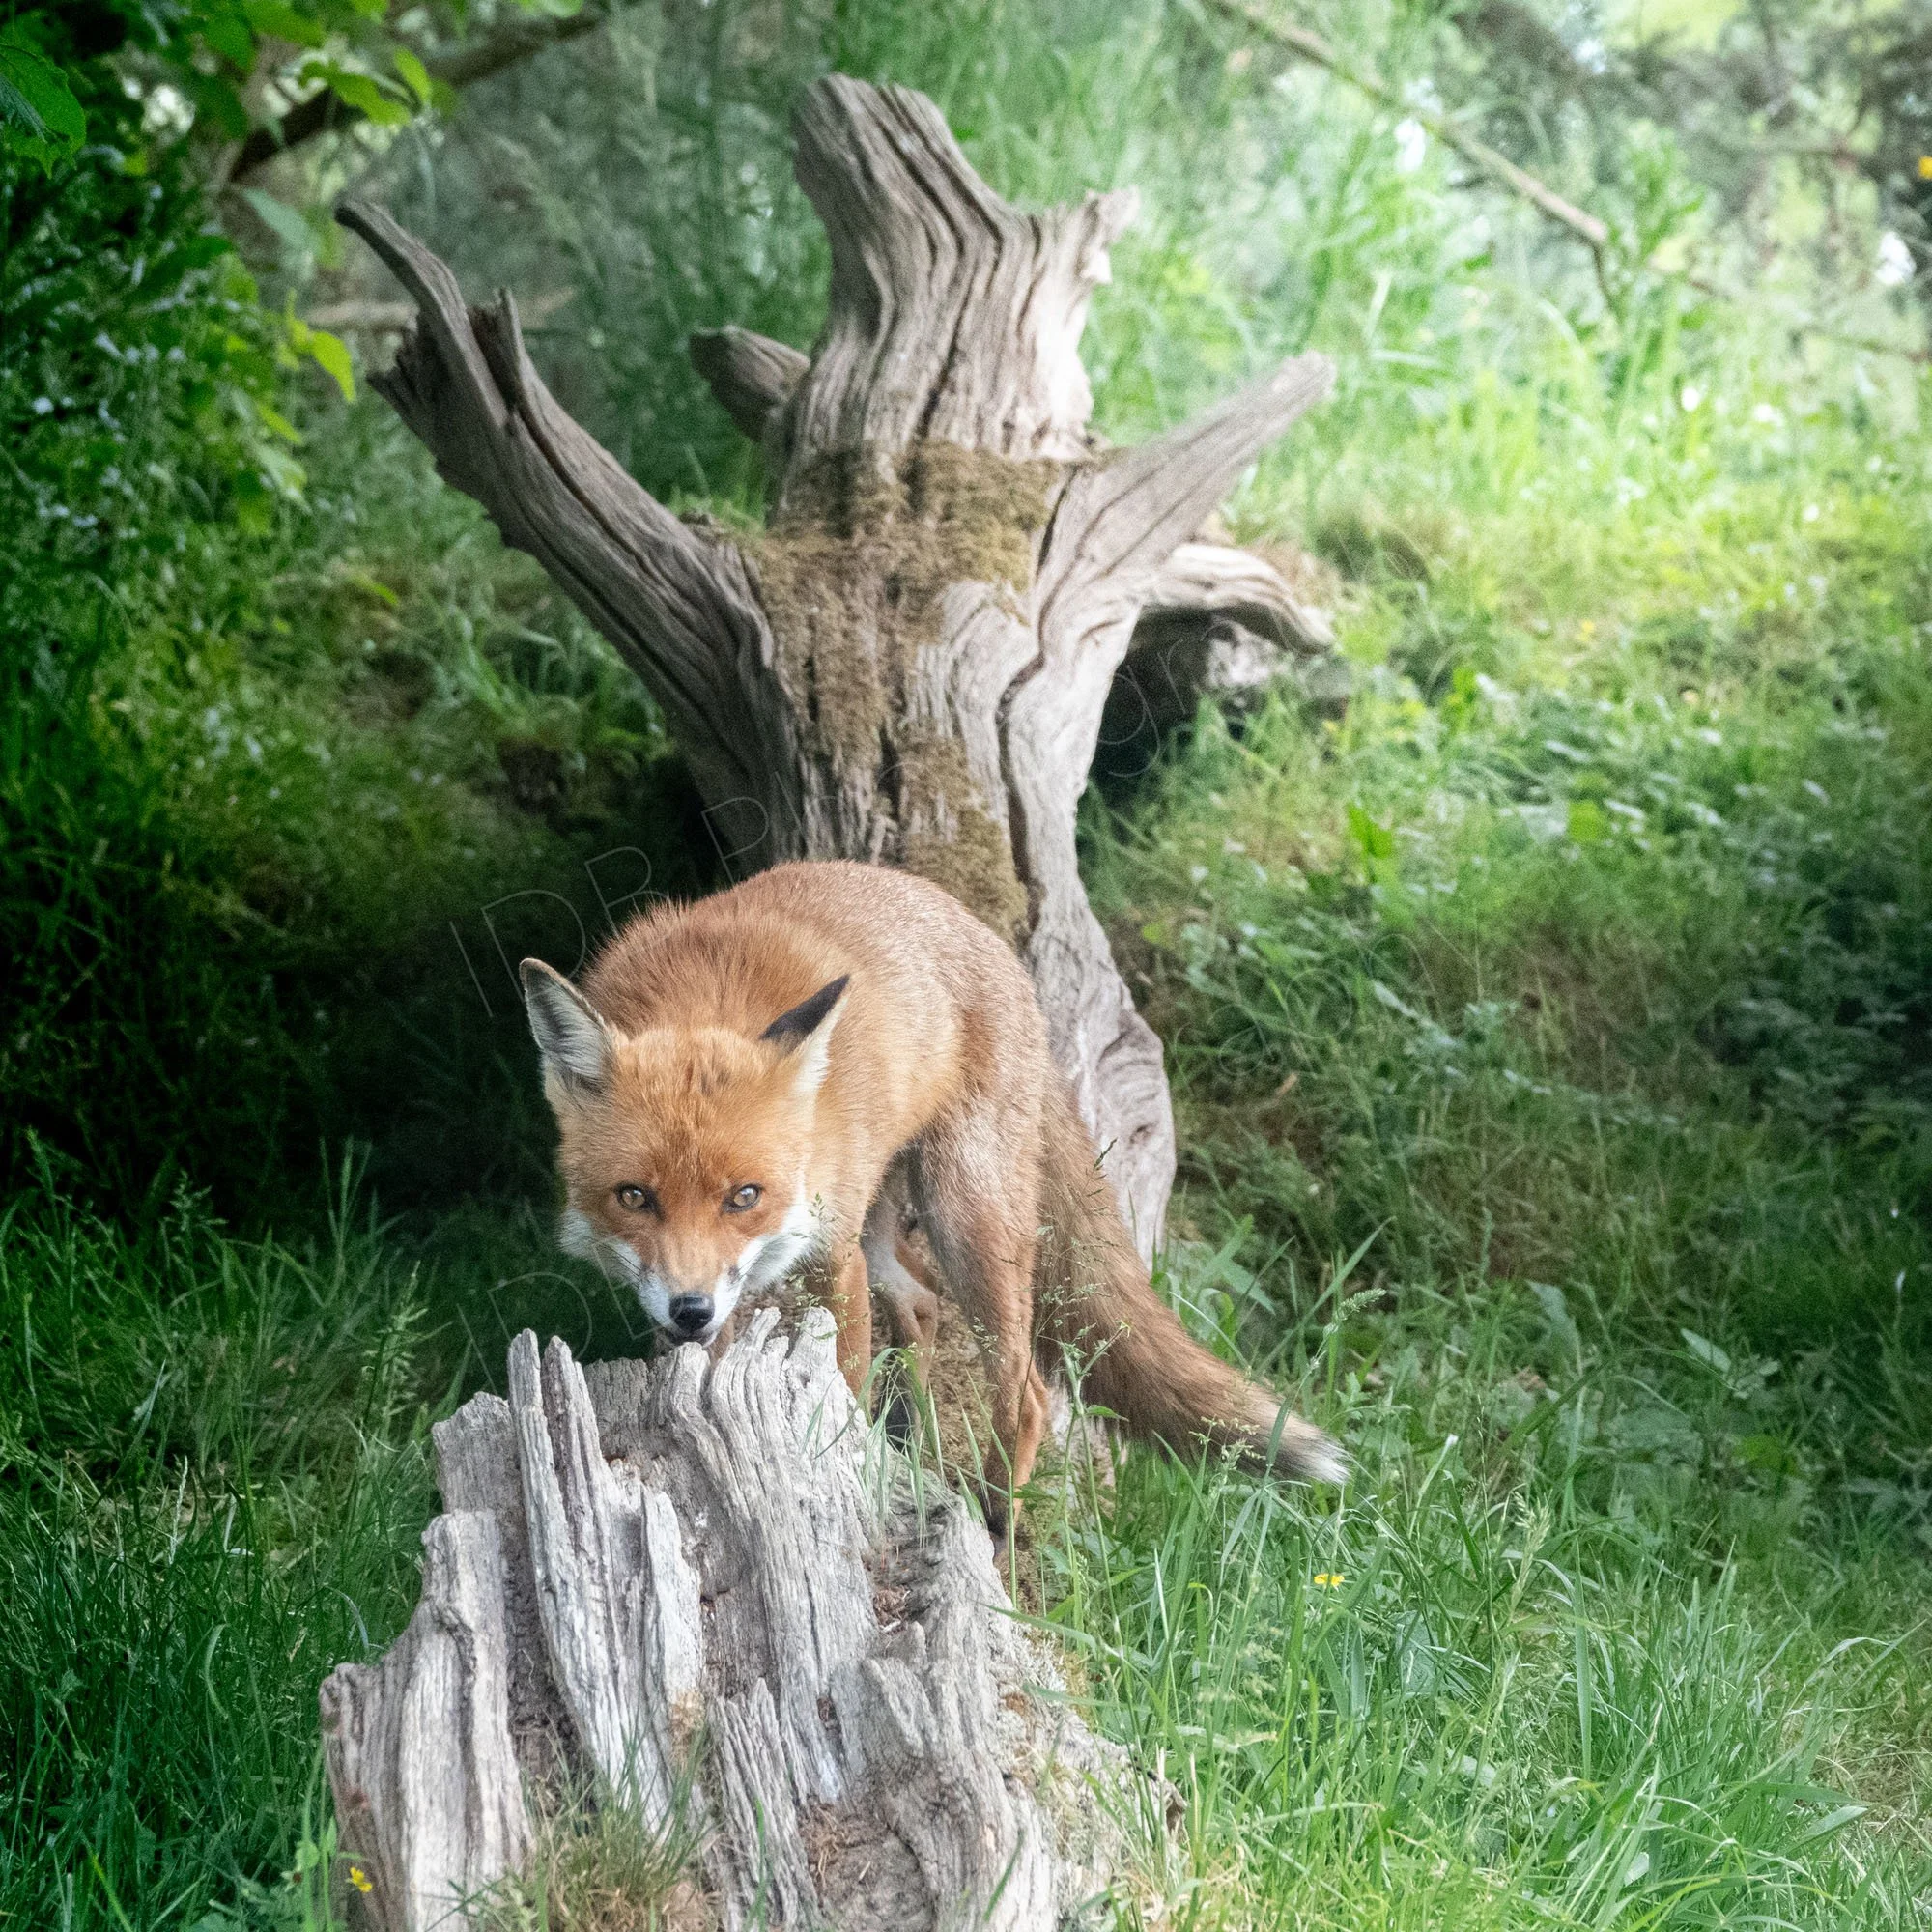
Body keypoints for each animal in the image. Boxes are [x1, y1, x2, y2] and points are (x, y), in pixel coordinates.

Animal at [519, 860, 1343, 1530]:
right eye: (635, 1197)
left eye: (744, 1195)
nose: (690, 1309)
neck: (702, 1002)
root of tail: (978, 930)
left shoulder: (831, 1260)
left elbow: (843, 1388)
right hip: (886, 1222)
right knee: (919, 1305)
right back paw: (916, 1453)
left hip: (963, 1216)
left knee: (1026, 1394)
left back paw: (997, 1532)